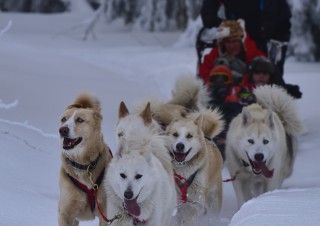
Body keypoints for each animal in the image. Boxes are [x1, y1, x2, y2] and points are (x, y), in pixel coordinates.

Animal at [58, 92, 112, 225]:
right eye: (63, 119)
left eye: (80, 120)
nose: (62, 130)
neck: (83, 165)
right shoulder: (65, 213)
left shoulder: (105, 214)